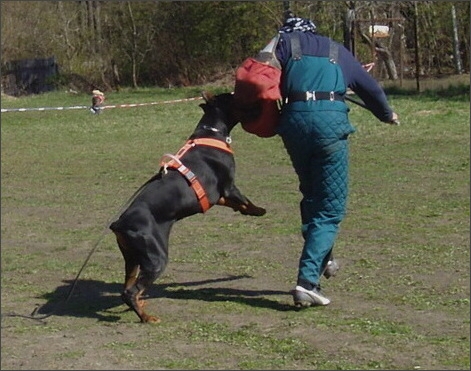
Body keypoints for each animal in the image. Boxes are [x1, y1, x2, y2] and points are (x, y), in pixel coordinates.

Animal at [108, 91, 268, 324]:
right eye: (234, 96)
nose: (254, 102)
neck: (211, 132)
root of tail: (120, 223)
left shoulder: (216, 194)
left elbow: (231, 202)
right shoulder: (229, 186)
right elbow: (245, 200)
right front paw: (258, 210)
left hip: (132, 258)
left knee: (127, 287)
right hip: (155, 257)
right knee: (131, 291)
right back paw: (147, 317)